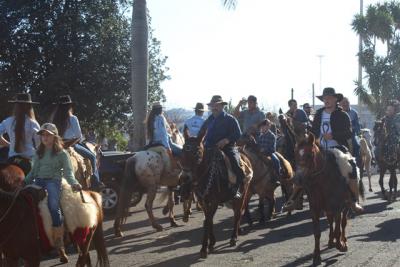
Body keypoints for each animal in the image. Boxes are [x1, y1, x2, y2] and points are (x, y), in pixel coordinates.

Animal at [294, 135, 354, 266]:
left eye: (310, 154)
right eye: (295, 154)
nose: (298, 179)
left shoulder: (337, 206)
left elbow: (339, 227)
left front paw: (341, 245)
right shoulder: (315, 209)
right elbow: (317, 232)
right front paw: (317, 256)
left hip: (344, 206)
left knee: (343, 223)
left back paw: (343, 240)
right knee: (331, 221)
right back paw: (331, 241)